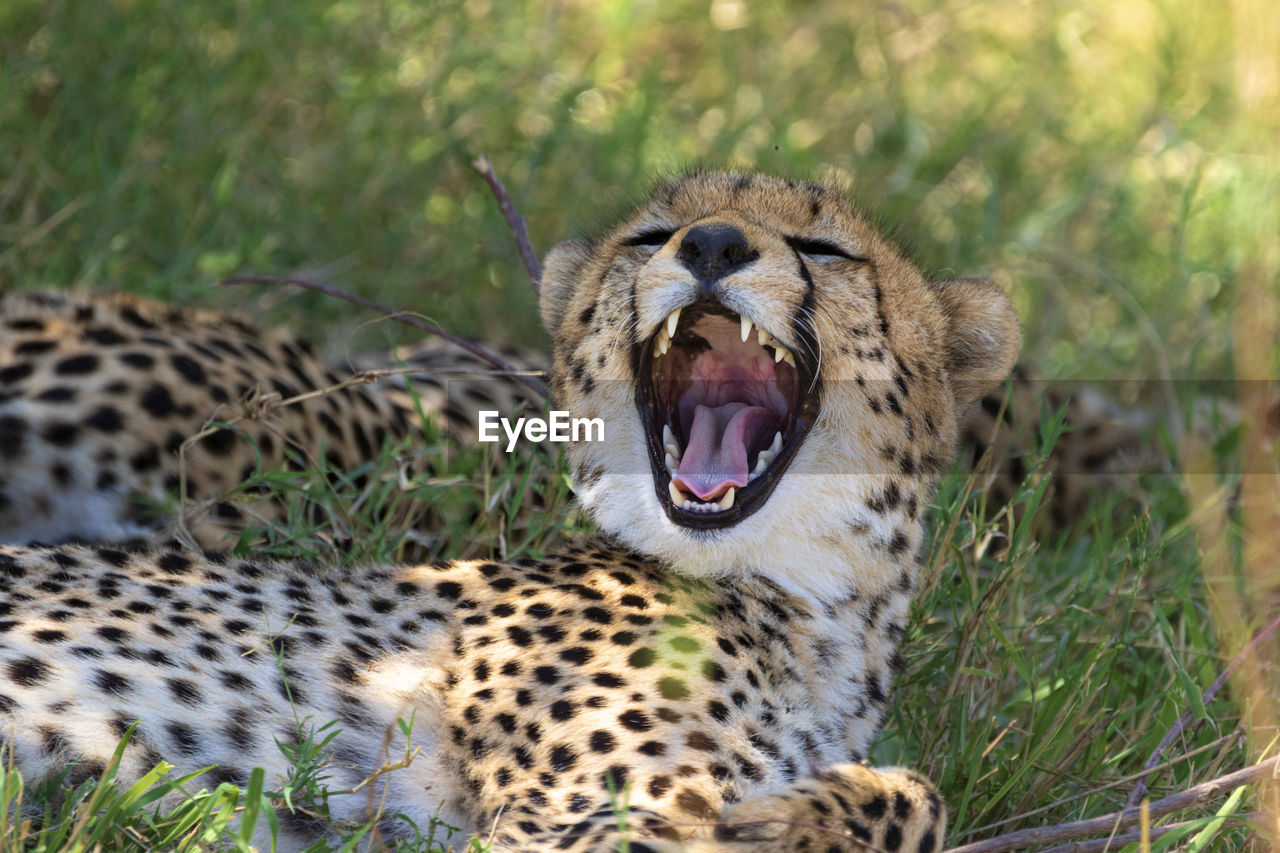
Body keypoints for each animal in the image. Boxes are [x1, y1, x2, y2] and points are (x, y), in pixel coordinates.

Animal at [0, 172, 1018, 850]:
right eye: (654, 234)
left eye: (824, 249)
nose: (714, 245)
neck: (816, 609)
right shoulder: (568, 825)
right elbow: (898, 794)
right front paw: (778, 821)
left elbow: (922, 793)